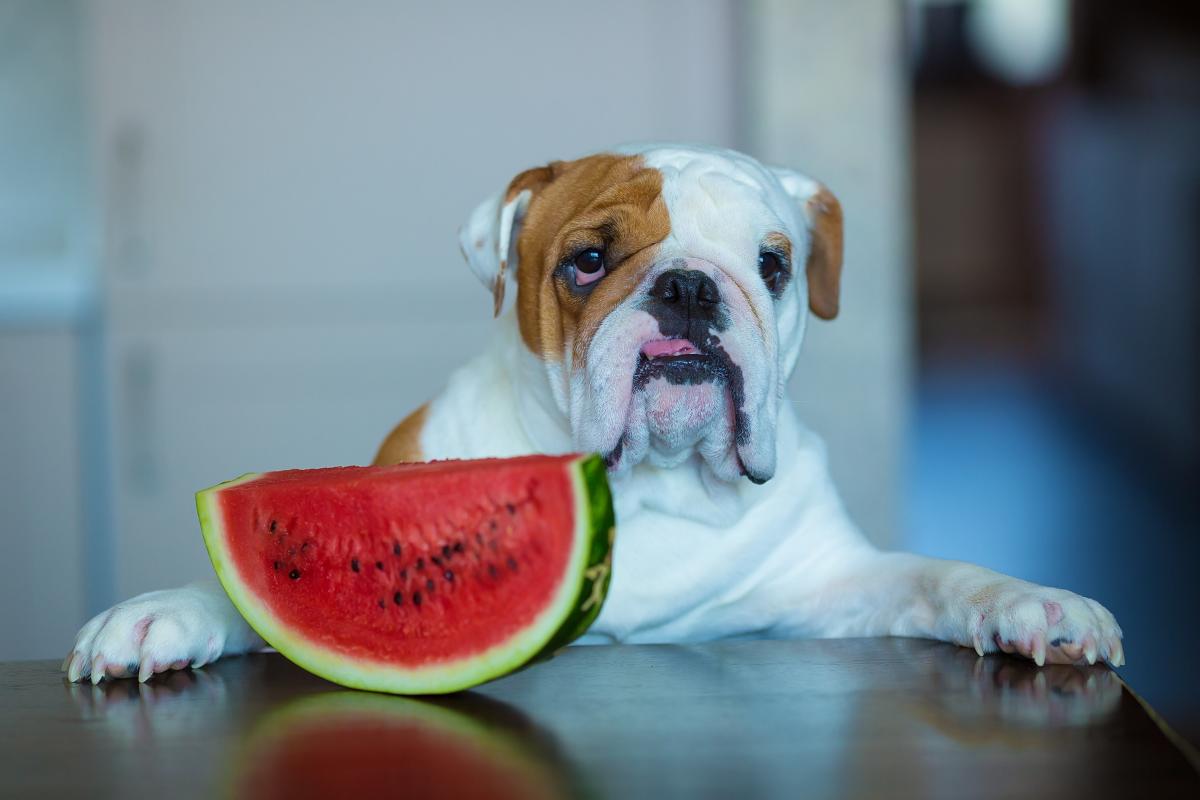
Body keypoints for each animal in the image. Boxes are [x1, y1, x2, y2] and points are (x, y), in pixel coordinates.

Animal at [65, 143, 1118, 681]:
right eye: (587, 261)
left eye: (773, 266)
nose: (690, 288)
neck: (653, 492)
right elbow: (244, 594)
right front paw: (165, 612)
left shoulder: (830, 581)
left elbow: (938, 576)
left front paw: (1030, 601)